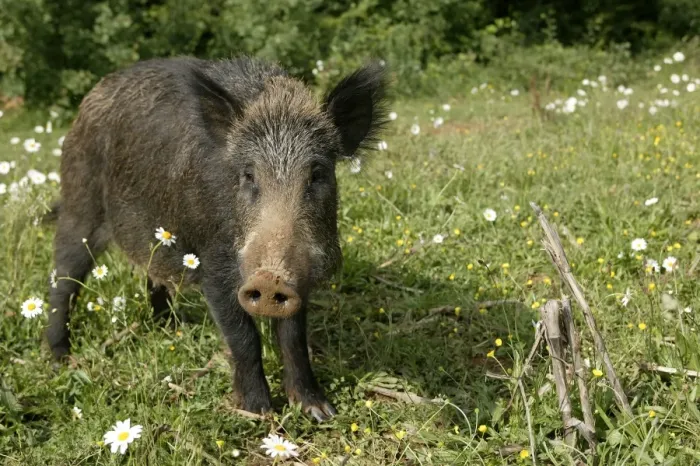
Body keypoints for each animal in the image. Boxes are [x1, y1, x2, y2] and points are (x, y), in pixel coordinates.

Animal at [46, 57, 387, 420]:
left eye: (318, 173)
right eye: (248, 174)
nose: (270, 278)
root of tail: (88, 102)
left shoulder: (300, 276)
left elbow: (294, 337)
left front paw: (319, 411)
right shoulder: (214, 263)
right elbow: (243, 336)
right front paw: (259, 413)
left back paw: (171, 329)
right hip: (80, 204)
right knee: (63, 279)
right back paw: (60, 359)